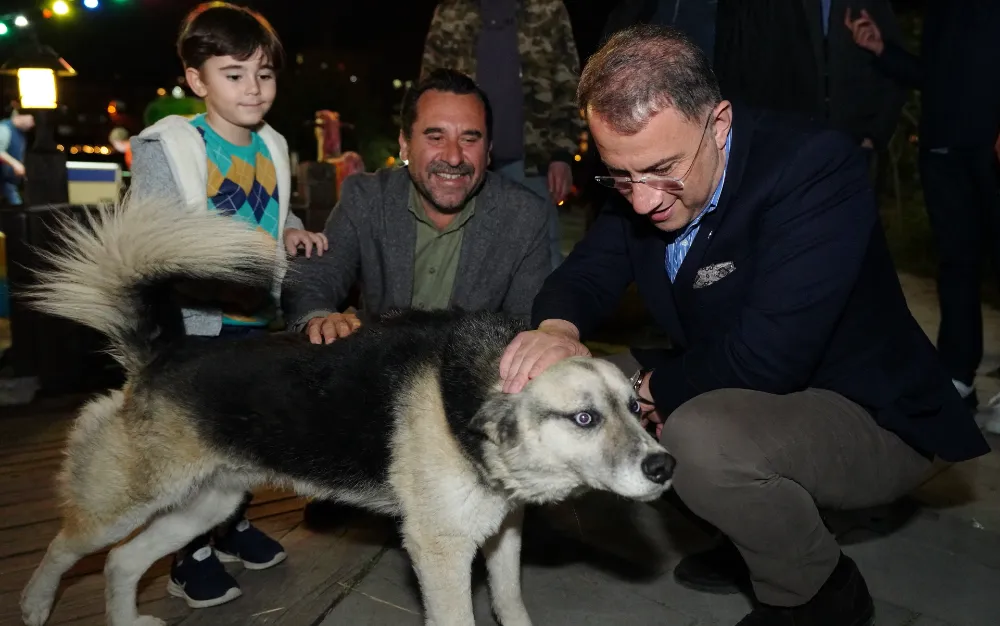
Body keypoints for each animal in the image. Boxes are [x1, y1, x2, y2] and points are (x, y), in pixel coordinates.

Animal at [19, 196, 676, 624]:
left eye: (632, 405)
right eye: (584, 418)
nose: (664, 468)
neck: (472, 399)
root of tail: (164, 352)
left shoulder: (502, 532)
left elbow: (510, 602)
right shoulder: (440, 551)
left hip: (207, 503)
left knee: (121, 563)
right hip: (124, 503)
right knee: (66, 547)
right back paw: (33, 603)